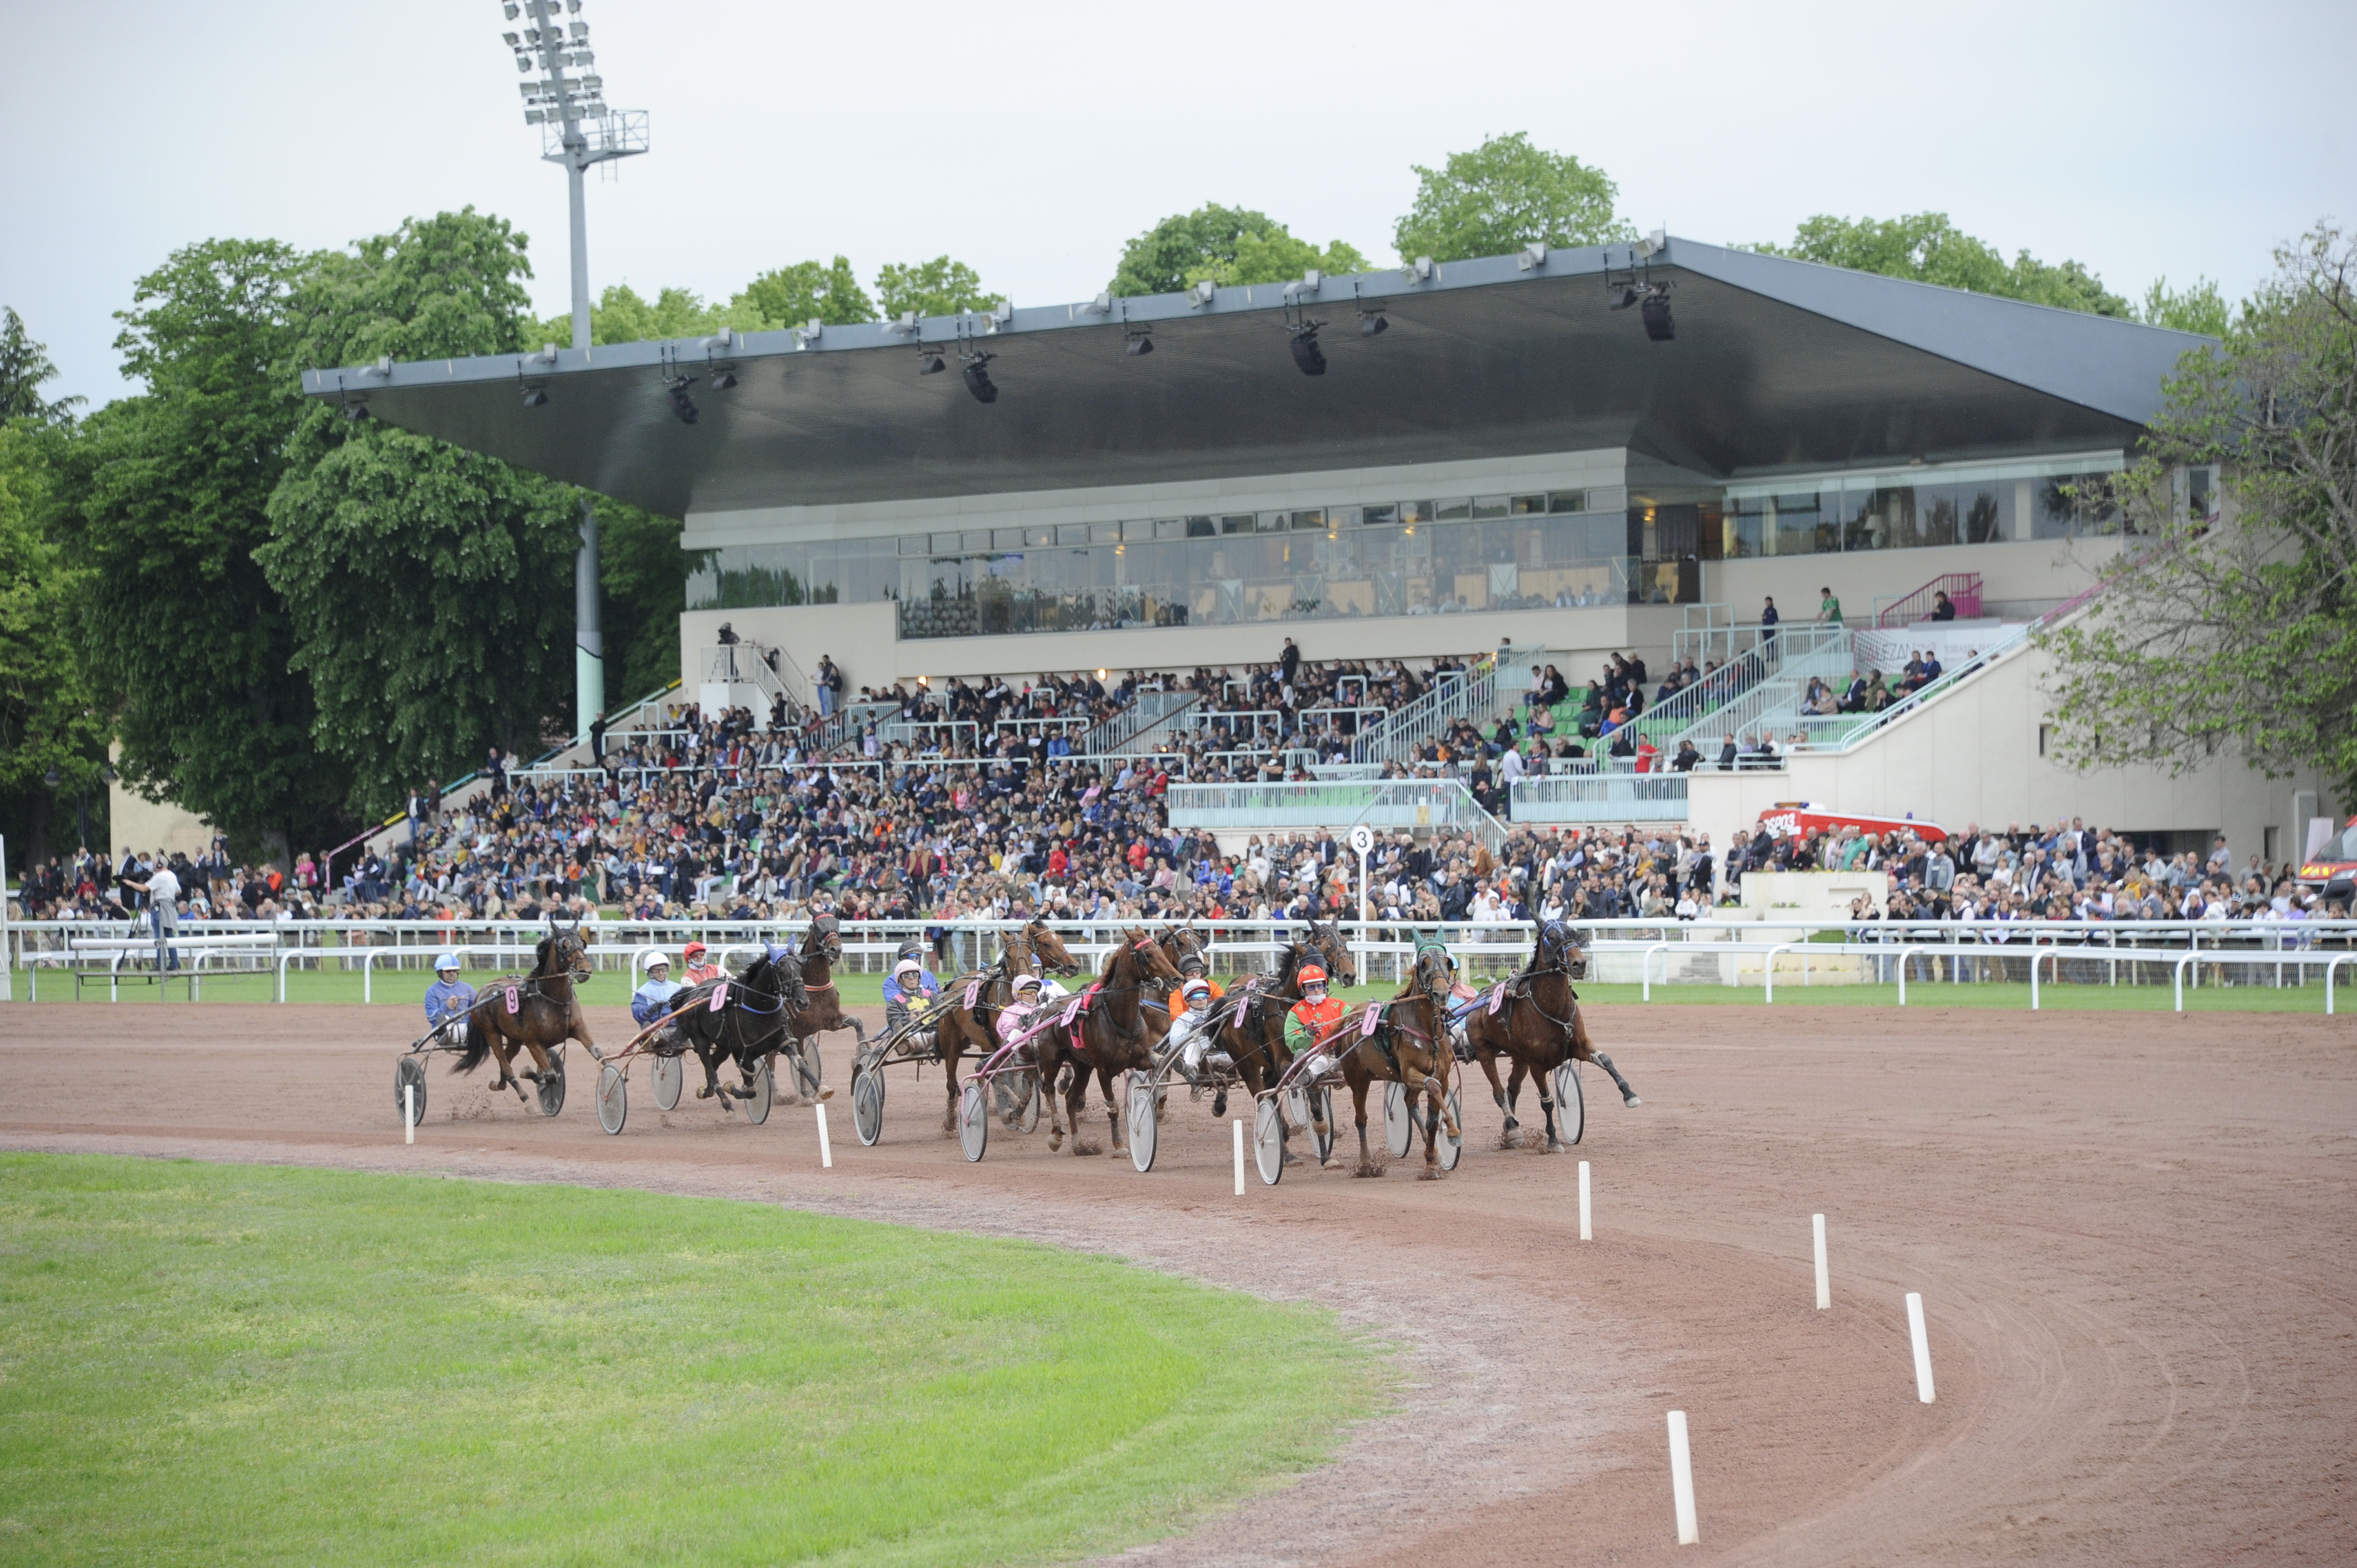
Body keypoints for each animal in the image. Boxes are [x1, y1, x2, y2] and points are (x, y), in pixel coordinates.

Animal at [450, 919, 594, 1113]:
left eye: (582, 943)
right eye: (565, 945)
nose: (585, 970)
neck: (553, 999)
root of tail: (481, 993)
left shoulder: (579, 1030)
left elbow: (597, 1053)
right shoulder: (533, 1042)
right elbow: (550, 1076)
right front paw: (530, 1073)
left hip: (514, 1039)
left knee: (505, 1066)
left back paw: (498, 1084)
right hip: (491, 1033)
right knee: (506, 1066)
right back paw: (526, 1100)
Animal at [938, 910, 1084, 1132]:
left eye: (1059, 939)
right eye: (1046, 944)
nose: (1073, 966)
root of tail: (954, 986)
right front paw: (1016, 1109)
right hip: (952, 1046)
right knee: (953, 1082)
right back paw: (951, 1121)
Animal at [1032, 924, 1188, 1155]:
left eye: (1160, 950)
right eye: (1147, 954)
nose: (1177, 978)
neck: (1119, 1017)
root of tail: (1048, 1009)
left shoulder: (1141, 1058)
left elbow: (1159, 1066)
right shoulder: (1104, 1070)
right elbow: (1113, 1107)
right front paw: (1119, 1145)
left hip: (1082, 1066)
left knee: (1070, 1099)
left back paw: (1078, 1142)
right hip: (1052, 1059)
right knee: (1049, 1090)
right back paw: (1057, 1134)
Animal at [1320, 943, 1461, 1174]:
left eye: (1447, 962)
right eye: (1424, 964)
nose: (1442, 993)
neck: (1426, 1030)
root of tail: (1352, 1017)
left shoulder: (1442, 1074)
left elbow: (1433, 1115)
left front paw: (1432, 1159)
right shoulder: (1410, 1072)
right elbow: (1433, 1086)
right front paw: (1453, 1132)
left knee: (1410, 1102)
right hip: (1358, 1079)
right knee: (1361, 1119)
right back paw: (1366, 1164)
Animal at [1461, 919, 1650, 1151]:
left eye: (1573, 933)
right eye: (1551, 937)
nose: (1580, 964)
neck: (1552, 1009)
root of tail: (1479, 999)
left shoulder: (1580, 1045)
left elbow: (1605, 1060)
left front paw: (1630, 1095)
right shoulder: (1537, 1064)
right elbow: (1547, 1101)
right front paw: (1552, 1139)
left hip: (1519, 1058)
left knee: (1512, 1089)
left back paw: (1510, 1131)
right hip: (1485, 1052)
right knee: (1498, 1093)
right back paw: (1512, 1127)